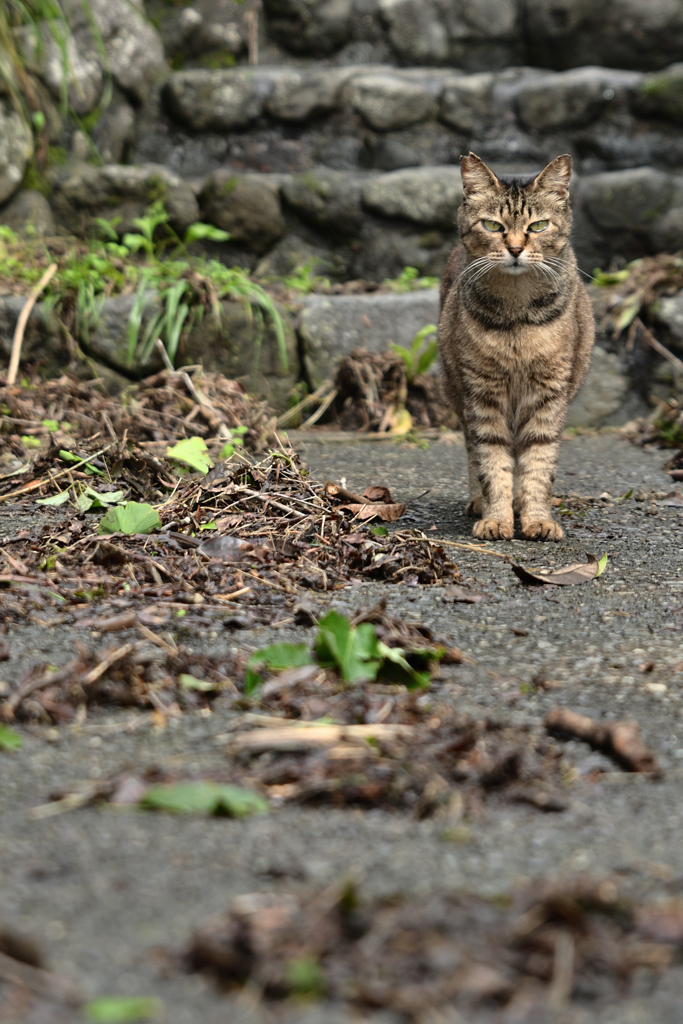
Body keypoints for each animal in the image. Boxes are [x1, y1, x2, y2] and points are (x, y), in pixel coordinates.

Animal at [438, 152, 593, 544]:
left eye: (538, 226)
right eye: (492, 225)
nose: (515, 249)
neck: (516, 317)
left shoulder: (548, 393)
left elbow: (538, 462)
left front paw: (537, 518)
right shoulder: (482, 393)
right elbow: (491, 462)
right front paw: (496, 517)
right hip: (455, 387)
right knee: (472, 450)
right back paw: (481, 503)